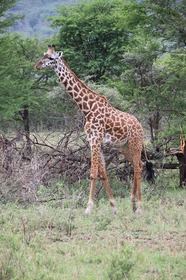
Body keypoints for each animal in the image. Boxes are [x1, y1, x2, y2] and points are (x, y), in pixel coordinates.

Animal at [34, 44, 148, 214]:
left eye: (51, 58)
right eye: (43, 55)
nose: (37, 65)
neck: (87, 109)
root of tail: (140, 125)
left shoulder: (95, 139)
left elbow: (93, 173)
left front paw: (88, 208)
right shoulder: (94, 141)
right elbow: (103, 173)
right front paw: (114, 207)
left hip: (135, 143)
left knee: (137, 166)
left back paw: (139, 207)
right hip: (123, 147)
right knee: (138, 165)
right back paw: (133, 204)